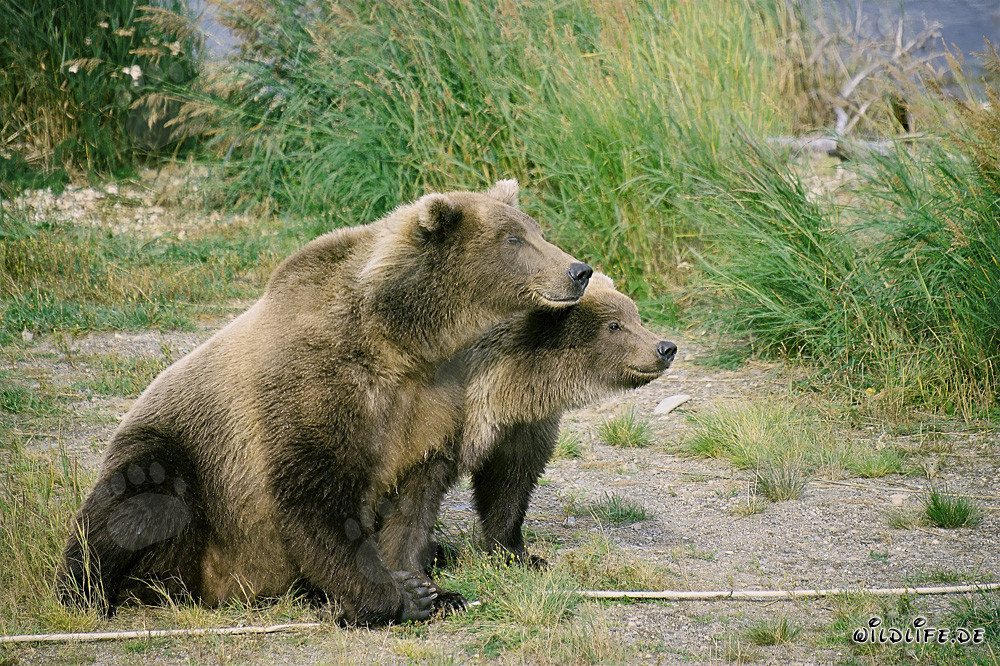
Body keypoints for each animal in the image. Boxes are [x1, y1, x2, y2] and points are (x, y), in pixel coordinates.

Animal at [57, 180, 593, 626]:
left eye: (537, 230)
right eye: (514, 239)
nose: (579, 270)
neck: (399, 339)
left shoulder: (432, 401)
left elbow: (415, 500)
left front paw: (433, 589)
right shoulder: (315, 384)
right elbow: (318, 494)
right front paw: (396, 598)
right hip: (182, 460)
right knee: (137, 498)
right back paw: (87, 594)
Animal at [376, 272, 677, 577]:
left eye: (637, 318)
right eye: (614, 325)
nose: (665, 348)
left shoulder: (521, 427)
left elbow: (509, 485)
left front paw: (518, 554)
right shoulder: (429, 419)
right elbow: (415, 496)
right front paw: (413, 568)